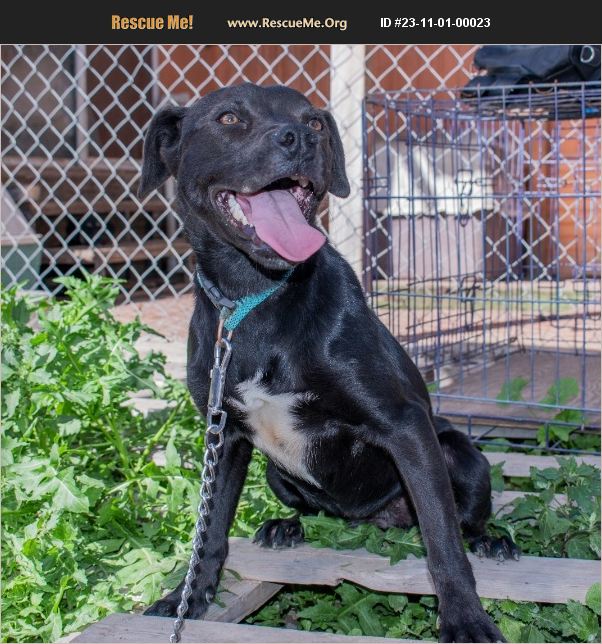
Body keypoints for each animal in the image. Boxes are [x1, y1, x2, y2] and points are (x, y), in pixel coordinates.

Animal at [138, 83, 519, 642]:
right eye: (228, 118)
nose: (299, 139)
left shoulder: (406, 428)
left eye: (314, 121)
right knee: (315, 510)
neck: (255, 299)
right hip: (279, 475)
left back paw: (493, 541)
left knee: (463, 519)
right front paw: (187, 598)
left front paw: (466, 619)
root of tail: (373, 518)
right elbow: (209, 531)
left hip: (462, 456)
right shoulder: (223, 435)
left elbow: (442, 538)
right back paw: (286, 527)